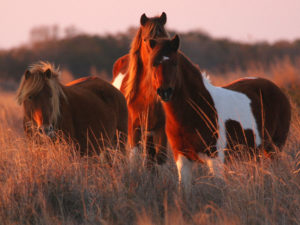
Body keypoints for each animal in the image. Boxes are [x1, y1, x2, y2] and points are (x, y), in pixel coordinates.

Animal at [111, 12, 170, 167]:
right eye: (146, 40)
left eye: (165, 39)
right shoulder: (134, 129)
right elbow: (135, 157)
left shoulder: (160, 129)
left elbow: (160, 159)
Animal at [149, 35, 292, 192]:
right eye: (153, 64)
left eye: (174, 63)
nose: (164, 92)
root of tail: (278, 91)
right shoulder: (183, 159)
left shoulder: (216, 160)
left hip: (274, 148)